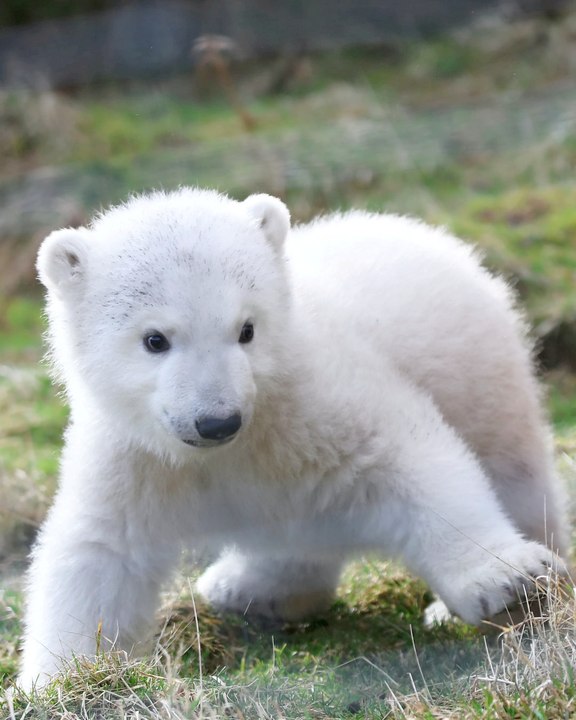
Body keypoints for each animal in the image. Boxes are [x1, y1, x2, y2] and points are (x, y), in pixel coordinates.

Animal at [19, 188, 568, 689]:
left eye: (246, 329)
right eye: (155, 339)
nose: (217, 421)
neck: (232, 449)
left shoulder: (313, 398)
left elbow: (405, 457)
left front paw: (506, 578)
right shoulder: (135, 456)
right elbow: (101, 549)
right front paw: (61, 680)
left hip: (481, 373)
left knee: (512, 469)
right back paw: (246, 587)